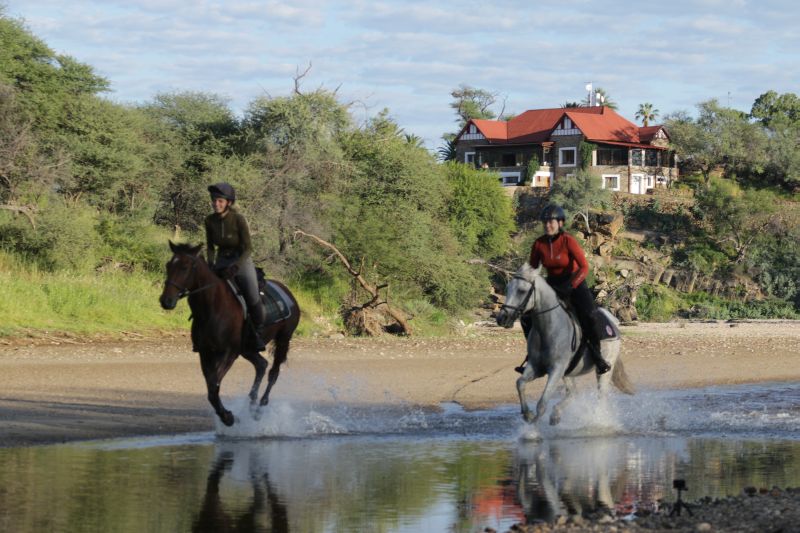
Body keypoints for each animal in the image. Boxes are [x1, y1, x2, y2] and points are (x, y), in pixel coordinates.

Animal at [159, 241, 300, 424]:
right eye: (168, 265)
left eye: (184, 267)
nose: (166, 301)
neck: (212, 308)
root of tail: (288, 293)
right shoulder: (205, 353)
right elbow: (211, 386)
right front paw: (226, 415)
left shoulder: (229, 353)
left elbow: (213, 386)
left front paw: (227, 417)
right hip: (248, 348)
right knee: (261, 365)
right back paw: (252, 403)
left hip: (283, 339)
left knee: (273, 372)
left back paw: (260, 407)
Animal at [496, 262, 636, 424]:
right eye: (507, 289)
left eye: (521, 291)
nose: (501, 318)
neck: (548, 328)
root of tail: (613, 321)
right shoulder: (535, 367)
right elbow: (520, 383)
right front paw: (527, 415)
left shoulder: (556, 369)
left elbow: (542, 404)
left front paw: (533, 427)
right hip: (568, 373)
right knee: (573, 393)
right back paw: (556, 414)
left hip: (604, 370)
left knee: (600, 396)